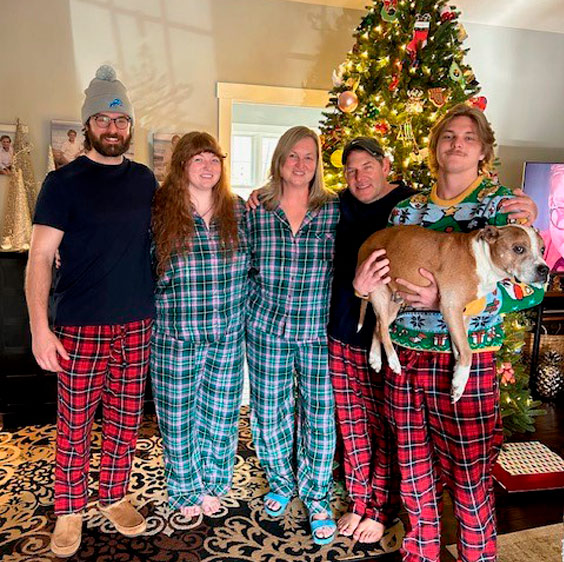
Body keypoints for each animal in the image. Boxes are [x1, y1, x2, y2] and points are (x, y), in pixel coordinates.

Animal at [356, 221, 548, 400]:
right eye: (518, 249)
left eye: (543, 249)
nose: (544, 269)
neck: (484, 260)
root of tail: (367, 241)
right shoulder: (451, 306)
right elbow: (467, 351)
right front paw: (459, 383)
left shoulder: (463, 315)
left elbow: (459, 345)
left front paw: (457, 372)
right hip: (378, 286)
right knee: (382, 327)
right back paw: (393, 361)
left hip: (395, 301)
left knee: (378, 325)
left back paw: (375, 358)